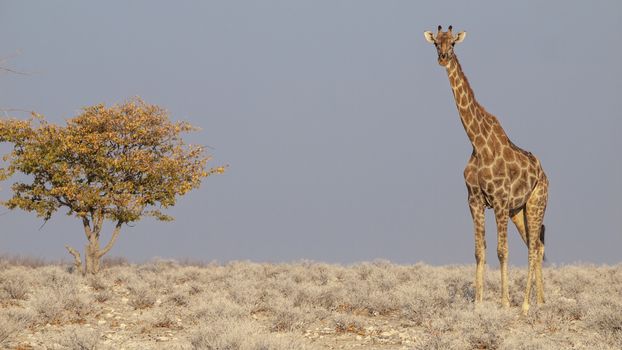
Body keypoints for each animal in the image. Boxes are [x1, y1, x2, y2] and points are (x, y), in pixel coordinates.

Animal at [424, 25, 552, 314]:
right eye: (436, 43)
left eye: (453, 43)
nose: (443, 58)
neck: (477, 143)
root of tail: (545, 175)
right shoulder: (474, 201)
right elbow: (479, 251)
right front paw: (478, 303)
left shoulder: (500, 200)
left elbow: (501, 250)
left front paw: (504, 302)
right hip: (519, 211)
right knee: (537, 245)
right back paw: (540, 301)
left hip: (535, 202)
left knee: (533, 247)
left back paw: (525, 304)